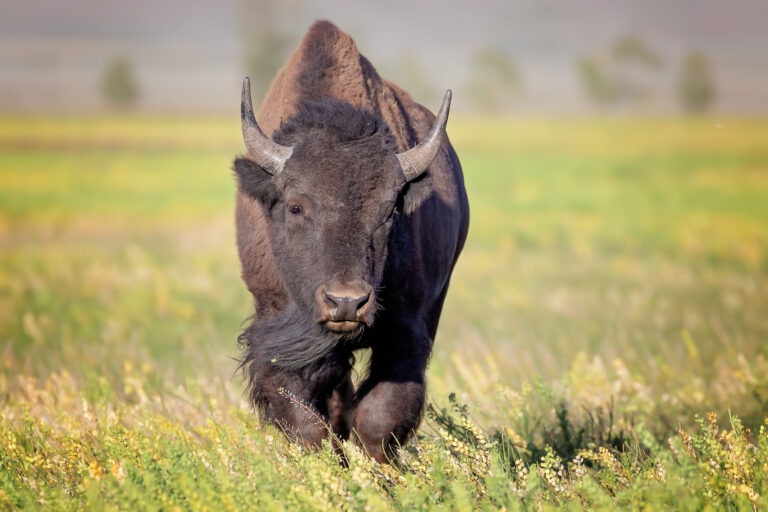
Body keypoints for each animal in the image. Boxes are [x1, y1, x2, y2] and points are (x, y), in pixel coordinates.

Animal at [234, 21, 469, 462]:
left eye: (390, 211)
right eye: (295, 207)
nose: (346, 302)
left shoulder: (406, 332)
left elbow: (378, 417)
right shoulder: (279, 332)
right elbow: (307, 421)